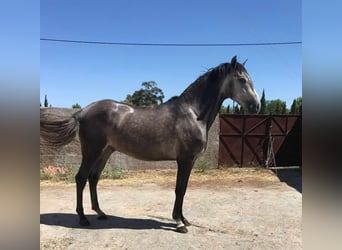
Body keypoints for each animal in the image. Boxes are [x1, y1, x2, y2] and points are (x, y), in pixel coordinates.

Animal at [40, 55, 260, 233]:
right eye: (242, 79)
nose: (256, 106)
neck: (193, 113)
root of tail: (82, 111)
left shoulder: (189, 161)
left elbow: (184, 188)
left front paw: (184, 219)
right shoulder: (185, 160)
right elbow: (179, 189)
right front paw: (179, 223)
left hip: (105, 152)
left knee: (93, 178)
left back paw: (101, 213)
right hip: (92, 151)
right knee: (81, 178)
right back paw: (83, 218)